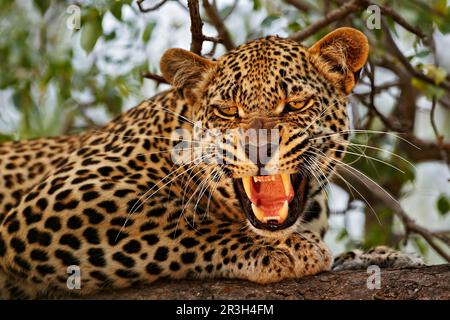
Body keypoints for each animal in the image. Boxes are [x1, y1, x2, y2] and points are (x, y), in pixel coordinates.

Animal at [0, 26, 422, 298]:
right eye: (227, 111)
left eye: (296, 104)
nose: (258, 150)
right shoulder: (50, 206)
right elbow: (179, 220)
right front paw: (283, 249)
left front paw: (379, 258)